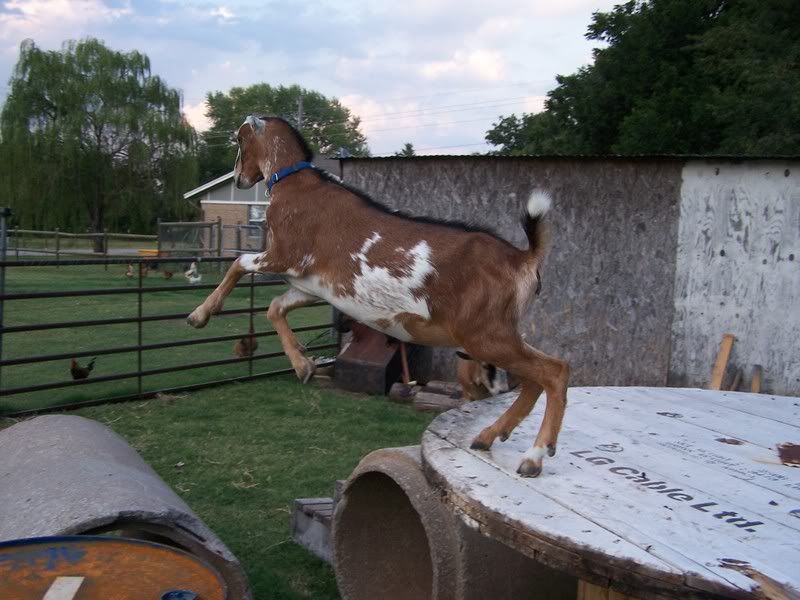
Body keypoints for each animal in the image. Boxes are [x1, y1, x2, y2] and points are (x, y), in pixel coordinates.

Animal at [187, 115, 569, 476]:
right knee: (533, 380)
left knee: (554, 371)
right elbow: (275, 308)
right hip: (498, 333)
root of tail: (523, 257)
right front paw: (303, 365)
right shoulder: (311, 286)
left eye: (239, 139)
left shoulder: (282, 255)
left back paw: (534, 456)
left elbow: (238, 263)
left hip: (484, 336)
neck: (296, 184)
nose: (239, 179)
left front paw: (199, 315)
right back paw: (489, 436)